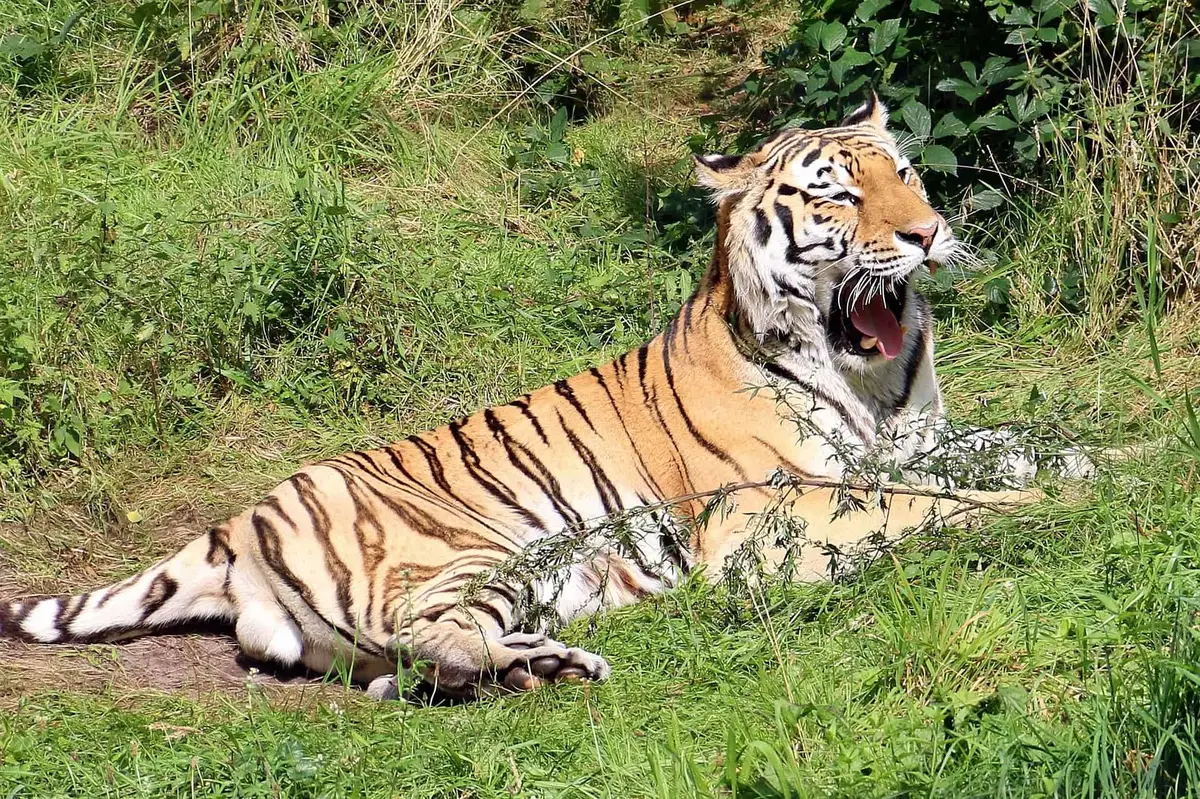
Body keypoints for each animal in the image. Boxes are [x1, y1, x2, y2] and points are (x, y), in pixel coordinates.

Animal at [0, 95, 1090, 701]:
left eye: (904, 175)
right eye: (838, 195)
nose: (927, 232)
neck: (864, 375)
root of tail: (236, 523)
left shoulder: (912, 440)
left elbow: (1007, 443)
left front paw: (1081, 461)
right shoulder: (764, 510)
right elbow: (931, 504)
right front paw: (1043, 508)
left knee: (412, 666)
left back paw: (545, 664)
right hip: (475, 548)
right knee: (428, 635)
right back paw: (548, 665)